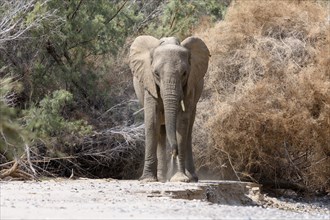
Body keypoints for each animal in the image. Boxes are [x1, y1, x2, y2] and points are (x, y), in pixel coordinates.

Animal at [129, 34, 209, 182]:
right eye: (156, 73)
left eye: (184, 73)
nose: (174, 152)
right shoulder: (149, 83)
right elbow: (152, 121)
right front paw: (148, 179)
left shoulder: (190, 85)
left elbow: (181, 123)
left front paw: (180, 179)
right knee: (161, 131)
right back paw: (161, 178)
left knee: (188, 130)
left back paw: (191, 177)